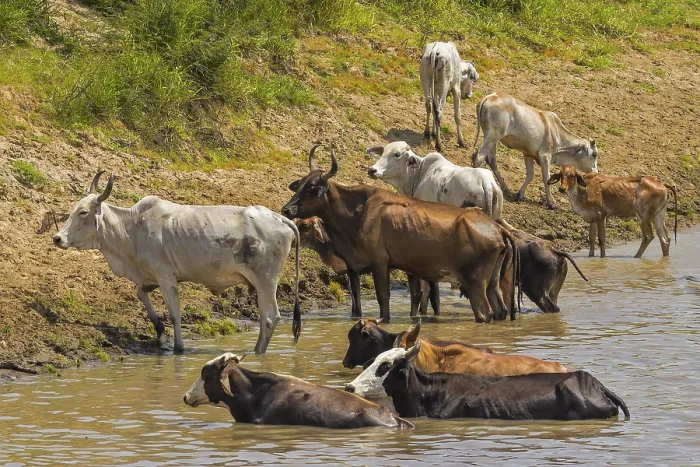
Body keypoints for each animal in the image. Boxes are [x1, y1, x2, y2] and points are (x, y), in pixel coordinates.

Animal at [53, 171, 301, 354]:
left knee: (270, 318)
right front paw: (159, 332)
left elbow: (175, 313)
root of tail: (279, 218)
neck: (132, 228)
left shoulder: (165, 276)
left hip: (266, 281)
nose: (58, 238)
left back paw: (257, 352)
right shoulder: (148, 277)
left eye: (83, 212)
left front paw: (178, 347)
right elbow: (141, 295)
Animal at [295, 216, 439, 317]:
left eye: (305, 225)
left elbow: (355, 293)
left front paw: (357, 314)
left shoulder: (352, 268)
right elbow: (352, 292)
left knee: (425, 290)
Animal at [548, 165, 678, 258]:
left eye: (572, 176)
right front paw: (591, 255)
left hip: (643, 215)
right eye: (561, 175)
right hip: (658, 215)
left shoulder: (601, 215)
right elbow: (591, 238)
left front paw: (603, 257)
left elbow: (601, 238)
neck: (584, 191)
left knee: (648, 236)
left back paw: (636, 257)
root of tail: (662, 184)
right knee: (665, 239)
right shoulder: (592, 218)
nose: (562, 188)